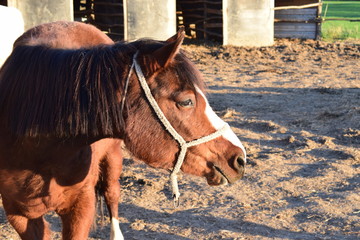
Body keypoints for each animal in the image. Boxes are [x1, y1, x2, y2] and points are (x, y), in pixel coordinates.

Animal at [0, 21, 245, 239]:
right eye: (186, 101)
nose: (240, 159)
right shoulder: (18, 214)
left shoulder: (81, 206)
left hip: (113, 159)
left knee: (112, 194)